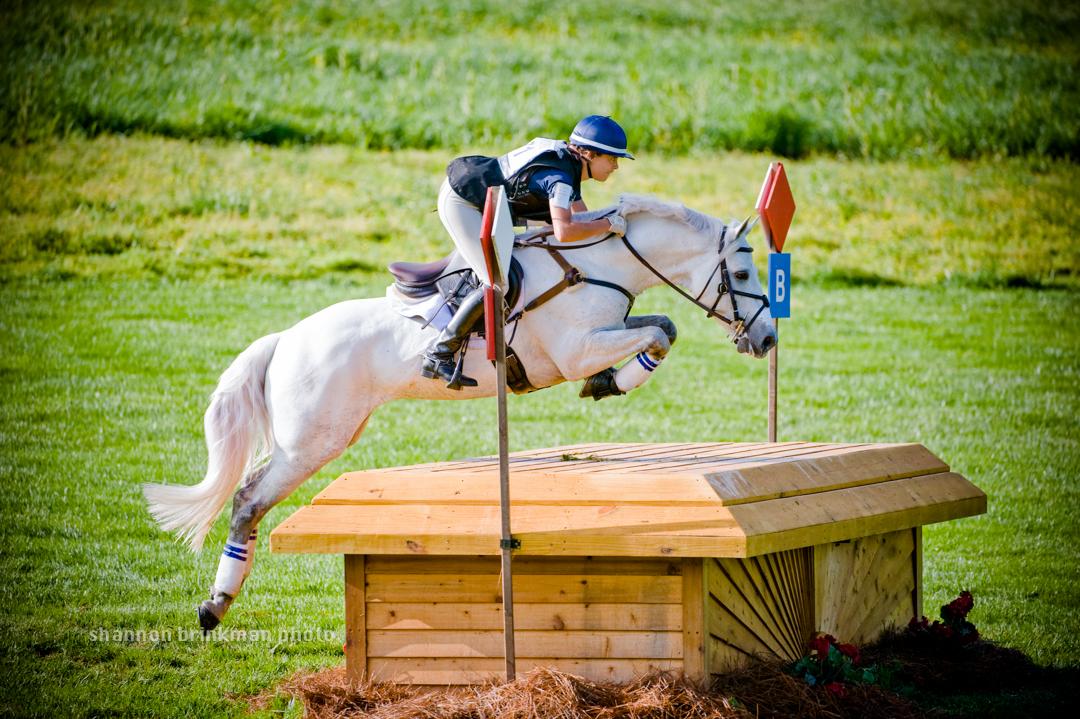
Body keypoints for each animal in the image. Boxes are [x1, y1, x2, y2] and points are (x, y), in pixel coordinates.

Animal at [143, 194, 778, 630]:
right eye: (745, 274)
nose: (767, 338)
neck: (600, 265)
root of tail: (285, 339)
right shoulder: (576, 349)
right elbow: (660, 332)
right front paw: (608, 381)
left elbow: (662, 327)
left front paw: (610, 383)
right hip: (312, 443)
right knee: (248, 502)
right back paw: (214, 605)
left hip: (327, 436)